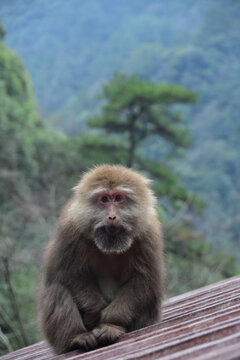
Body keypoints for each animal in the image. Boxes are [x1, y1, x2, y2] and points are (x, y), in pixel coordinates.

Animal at [38, 165, 165, 354]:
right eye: (104, 199)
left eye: (118, 198)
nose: (111, 216)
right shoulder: (71, 230)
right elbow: (69, 274)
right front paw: (95, 313)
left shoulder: (148, 232)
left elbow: (144, 279)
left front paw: (110, 322)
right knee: (57, 289)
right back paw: (76, 338)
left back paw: (112, 328)